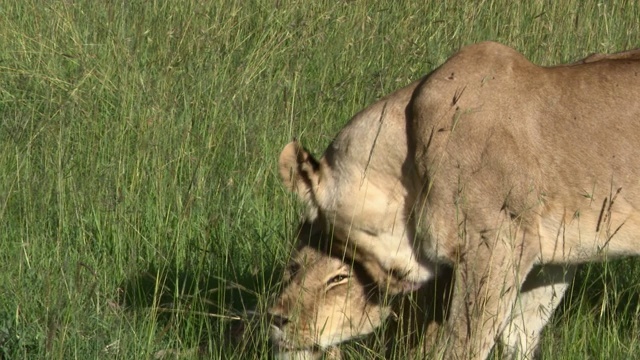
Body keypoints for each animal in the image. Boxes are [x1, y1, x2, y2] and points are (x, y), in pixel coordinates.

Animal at [272, 40, 640, 358]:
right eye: (293, 267)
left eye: (338, 276)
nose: (277, 318)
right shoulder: (553, 254)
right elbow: (519, 333)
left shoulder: (496, 245)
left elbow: (465, 344)